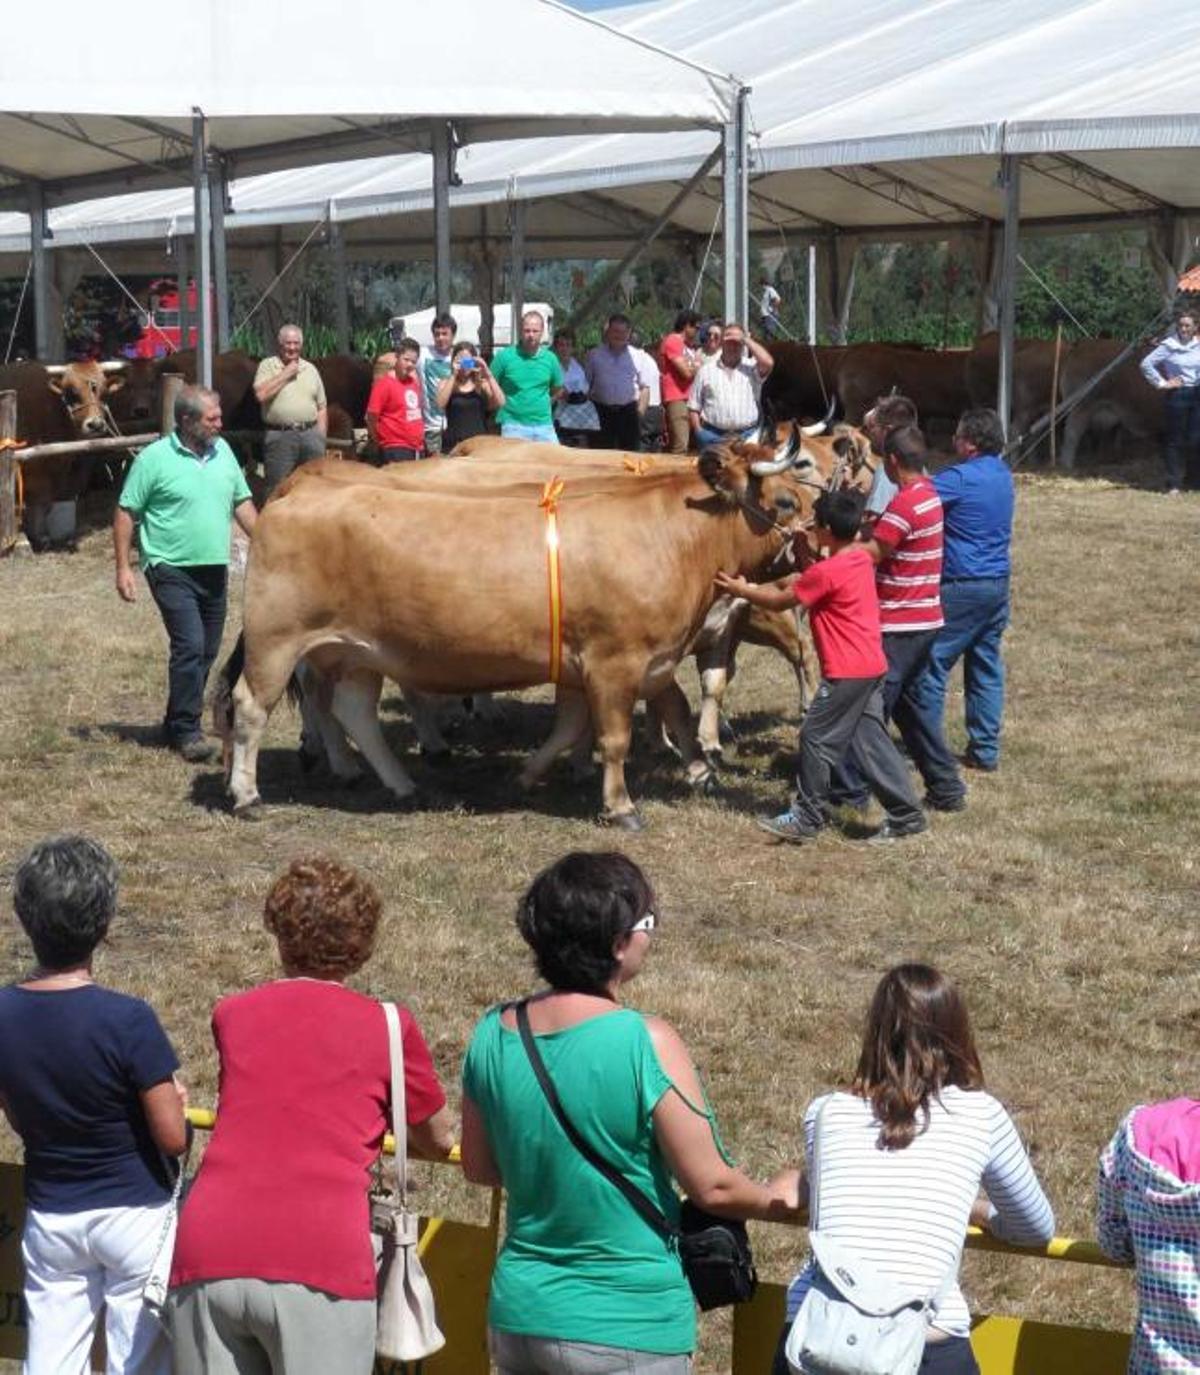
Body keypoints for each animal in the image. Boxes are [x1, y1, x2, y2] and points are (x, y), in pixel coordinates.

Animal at [217, 434, 821, 828]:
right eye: (785, 499)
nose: (825, 537)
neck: (671, 536)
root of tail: (295, 491)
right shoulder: (615, 662)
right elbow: (614, 737)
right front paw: (620, 806)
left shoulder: (633, 661)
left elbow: (646, 714)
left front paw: (698, 770)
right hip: (278, 640)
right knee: (252, 707)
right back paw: (247, 795)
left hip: (359, 652)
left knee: (352, 712)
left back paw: (399, 783)